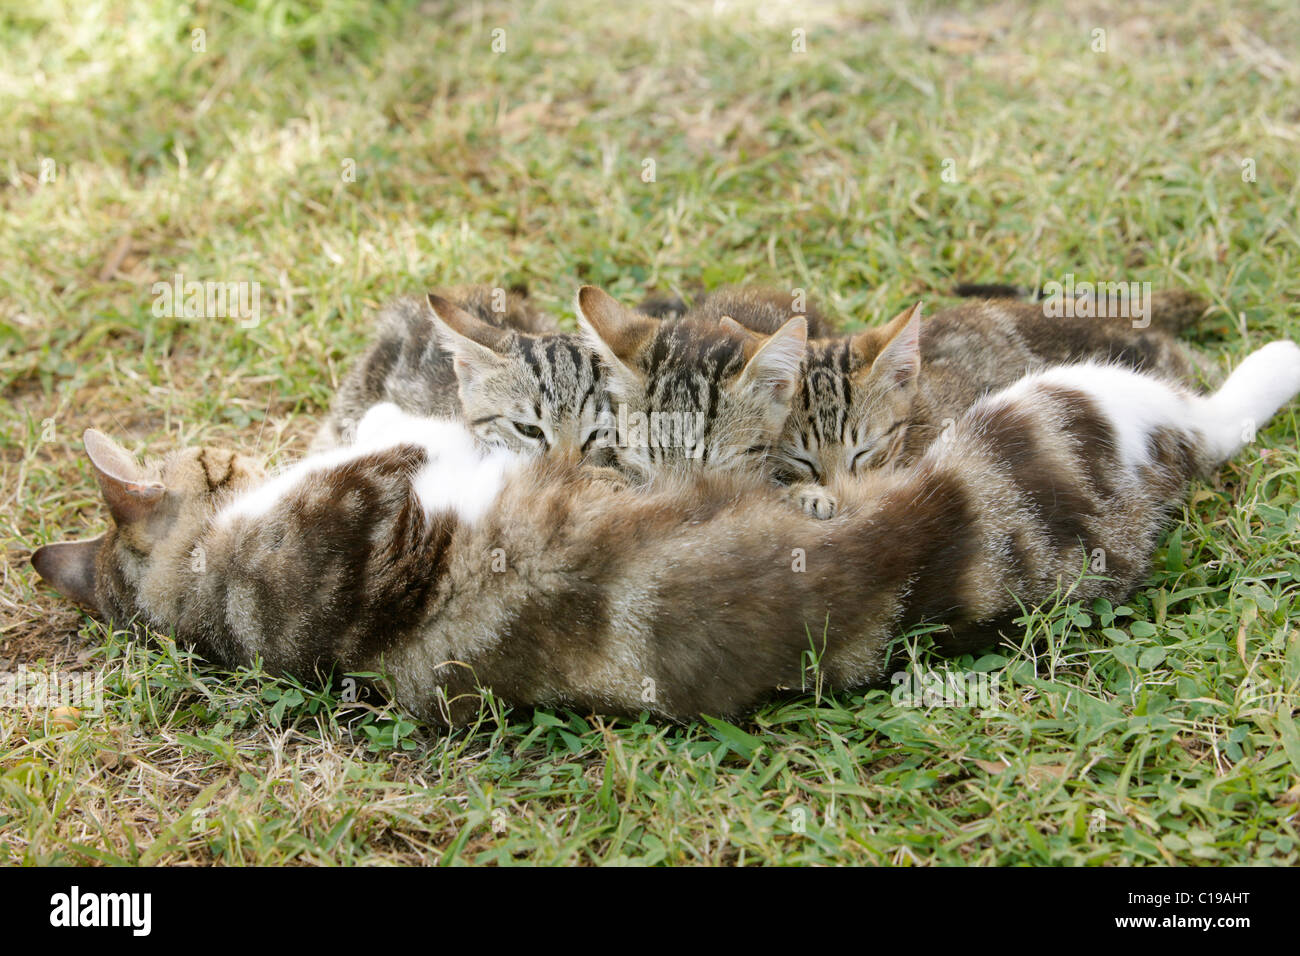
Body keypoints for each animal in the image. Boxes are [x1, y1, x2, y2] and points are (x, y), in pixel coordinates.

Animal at [30, 340, 1300, 723]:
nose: (224, 455)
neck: (207, 597)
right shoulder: (385, 507)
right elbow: (402, 437)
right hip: (1055, 411)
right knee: (1199, 419)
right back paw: (1266, 367)